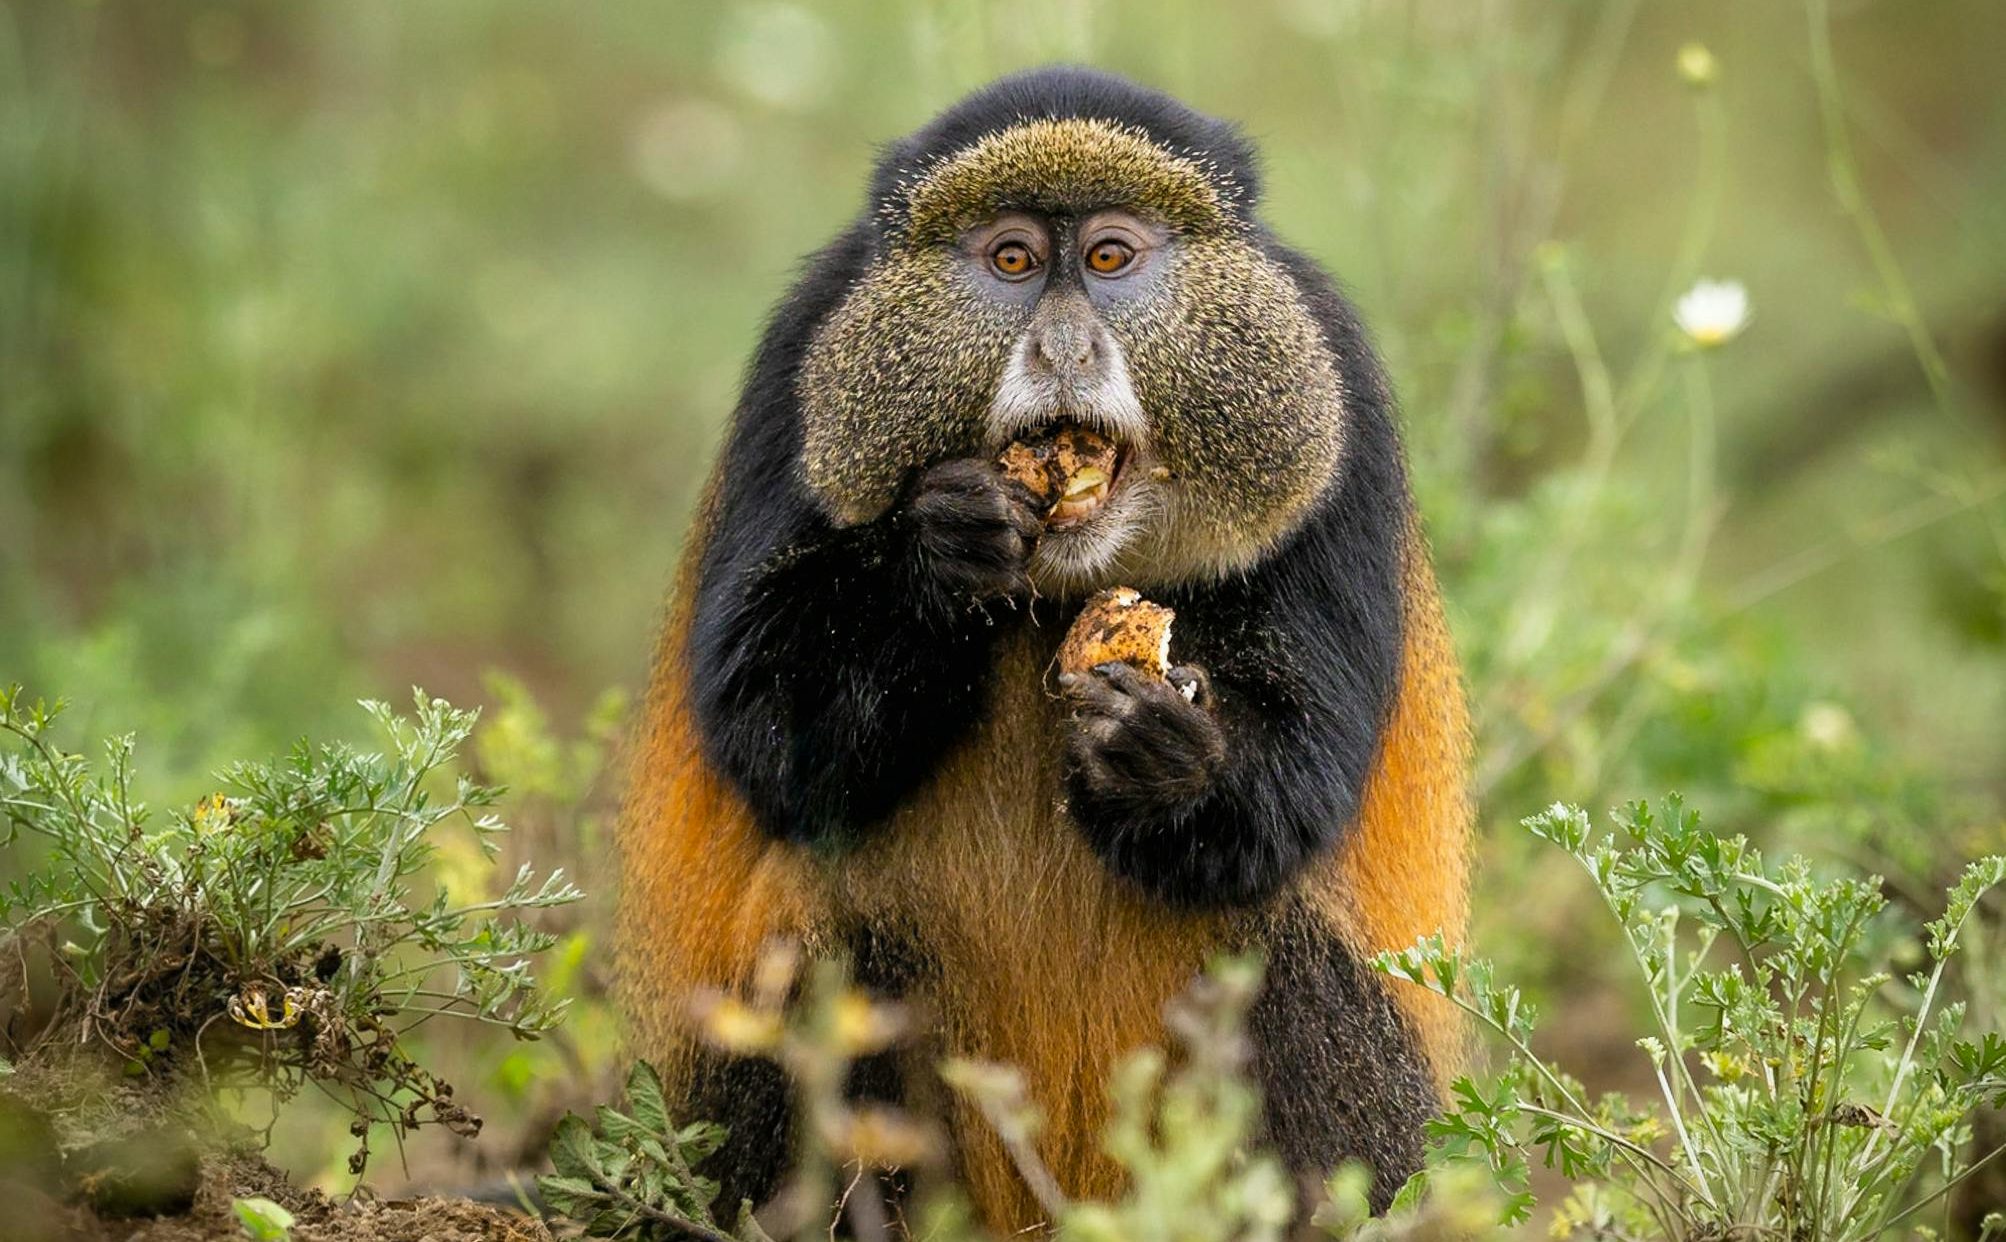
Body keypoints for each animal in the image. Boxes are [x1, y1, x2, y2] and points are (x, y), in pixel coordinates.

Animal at [616, 66, 1473, 1229]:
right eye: (1013, 261)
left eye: (1109, 259)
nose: (1063, 348)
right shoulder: (799, 364)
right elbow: (772, 739)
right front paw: (937, 555)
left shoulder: (1333, 395)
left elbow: (1302, 782)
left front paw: (1161, 756)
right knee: (824, 915)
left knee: (1272, 939)